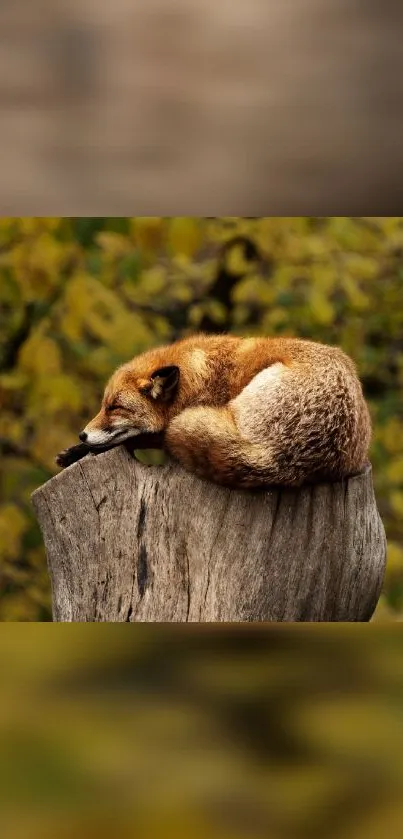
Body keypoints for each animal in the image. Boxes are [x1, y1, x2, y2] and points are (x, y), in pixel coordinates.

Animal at [56, 334, 372, 488]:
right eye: (103, 405)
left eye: (115, 407)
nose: (82, 434)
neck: (198, 378)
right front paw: (75, 451)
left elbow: (143, 437)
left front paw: (79, 450)